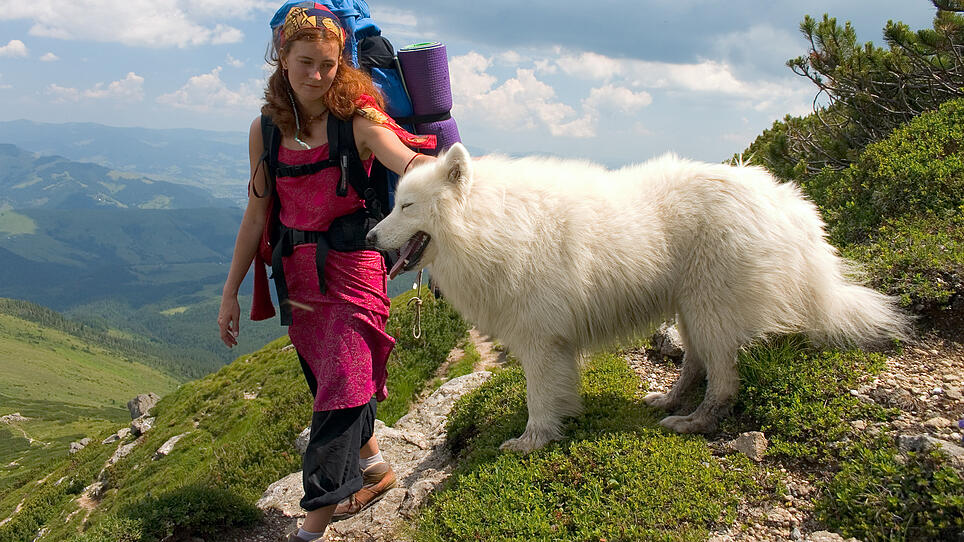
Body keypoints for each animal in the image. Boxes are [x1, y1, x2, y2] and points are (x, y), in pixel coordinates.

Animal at [366, 146, 908, 454]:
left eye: (406, 206)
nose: (369, 236)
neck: (489, 222)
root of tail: (786, 203)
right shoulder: (552, 344)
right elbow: (557, 392)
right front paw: (557, 425)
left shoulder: (540, 341)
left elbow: (539, 398)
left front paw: (530, 441)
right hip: (691, 310)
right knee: (694, 365)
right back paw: (668, 400)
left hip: (710, 309)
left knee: (723, 381)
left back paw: (693, 422)